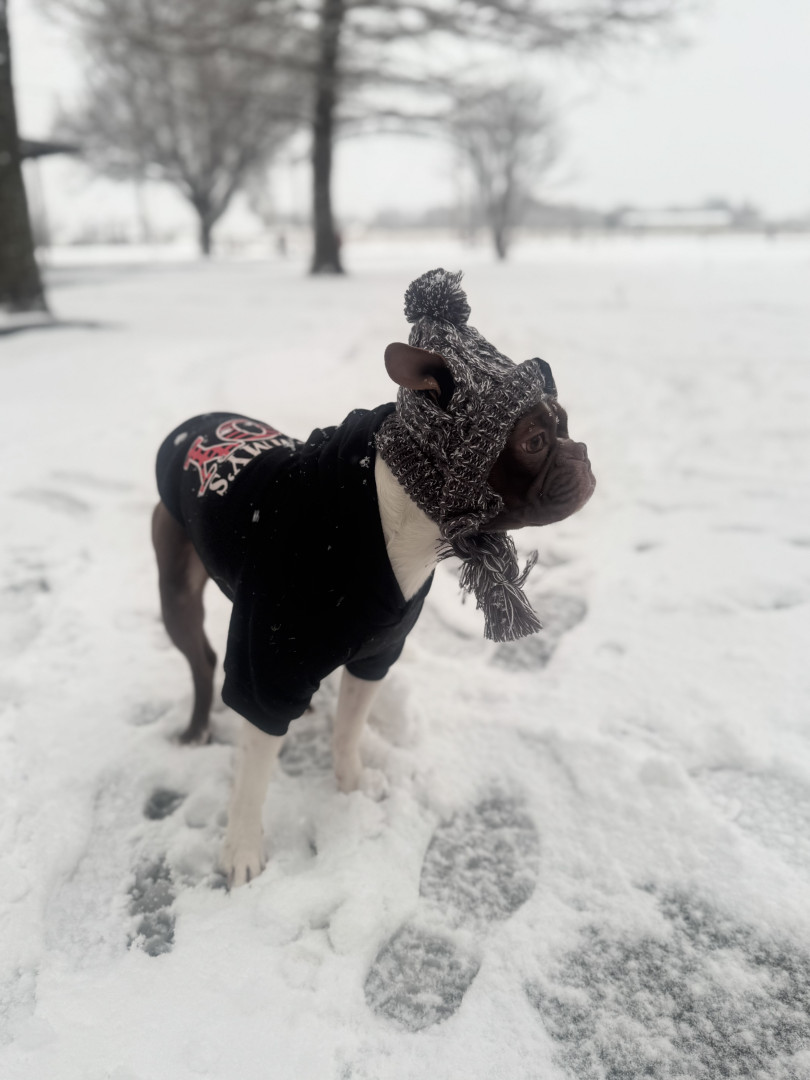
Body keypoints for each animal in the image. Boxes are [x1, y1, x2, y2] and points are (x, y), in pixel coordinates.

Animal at [152, 270, 595, 887]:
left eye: (568, 424)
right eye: (533, 442)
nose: (583, 455)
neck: (397, 516)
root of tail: (194, 424)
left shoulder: (375, 654)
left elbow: (349, 729)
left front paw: (351, 786)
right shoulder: (265, 672)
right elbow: (253, 776)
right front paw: (241, 851)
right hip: (176, 593)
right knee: (201, 660)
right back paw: (195, 730)